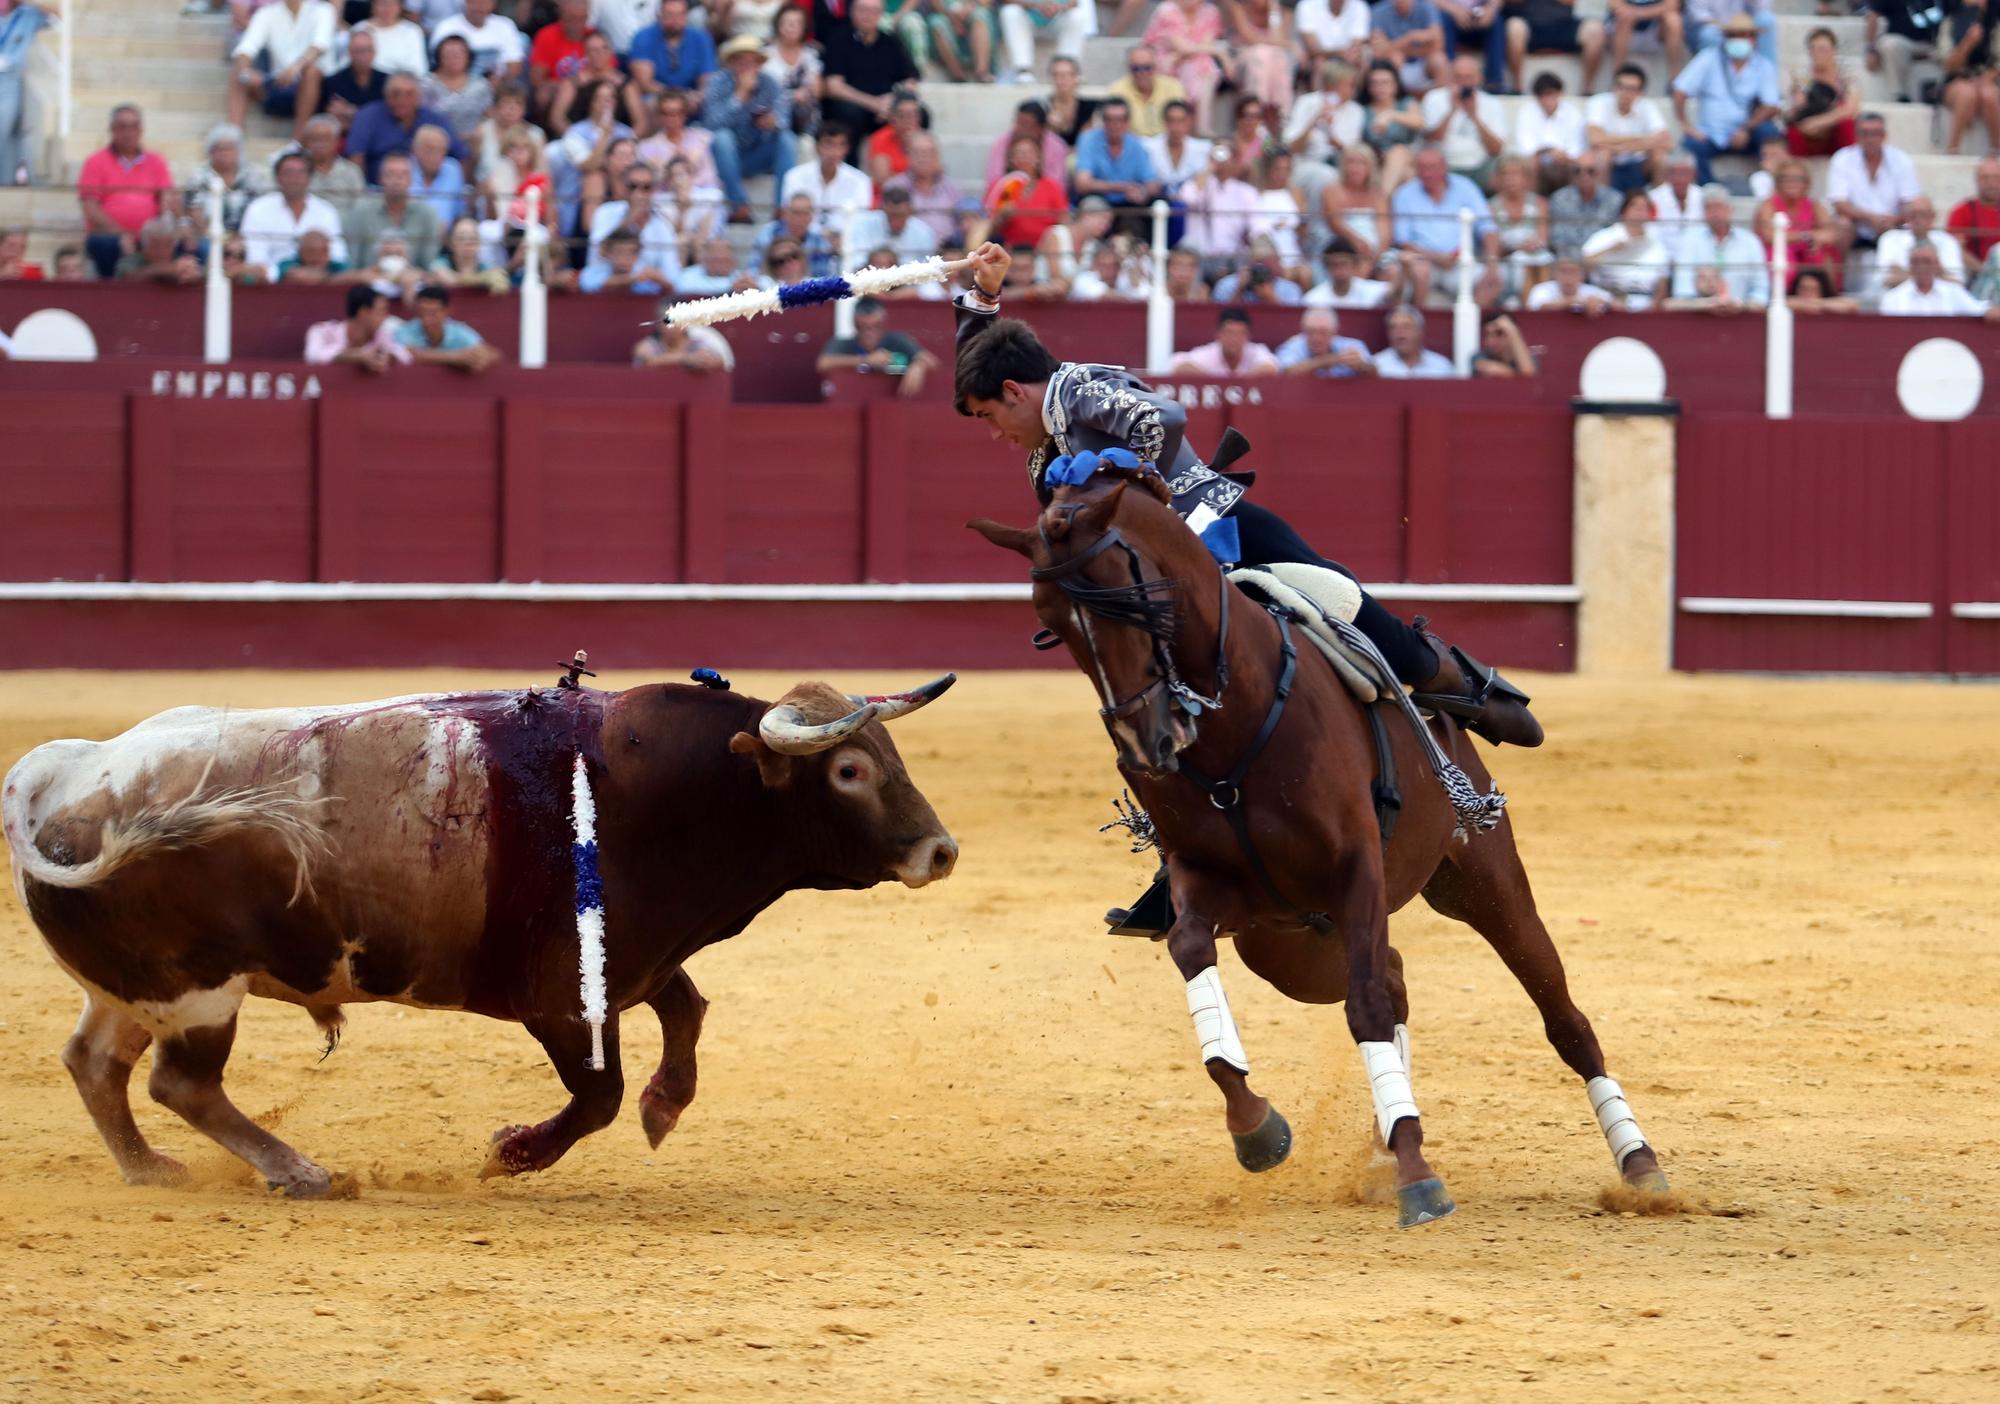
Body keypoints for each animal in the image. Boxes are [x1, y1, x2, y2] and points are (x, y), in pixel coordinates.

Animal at [5, 672, 960, 1200]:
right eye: (850, 770)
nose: (941, 851)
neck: (673, 792)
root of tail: (64, 772)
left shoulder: (637, 965)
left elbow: (686, 1014)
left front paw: (664, 1107)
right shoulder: (566, 1001)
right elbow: (599, 1094)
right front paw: (512, 1153)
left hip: (140, 988)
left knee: (96, 1064)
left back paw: (148, 1170)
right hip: (199, 989)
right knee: (182, 1084)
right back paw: (304, 1174)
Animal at [968, 470, 1672, 1232]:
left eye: (1134, 600)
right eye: (1054, 623)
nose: (1144, 745)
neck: (1237, 721)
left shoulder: (1355, 867)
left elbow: (1365, 1009)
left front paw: (1420, 1179)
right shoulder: (1203, 880)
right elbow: (1193, 955)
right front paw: (1257, 1128)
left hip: (1482, 882)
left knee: (1559, 1016)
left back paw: (1639, 1165)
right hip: (1289, 946)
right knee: (1392, 975)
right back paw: (1389, 1143)